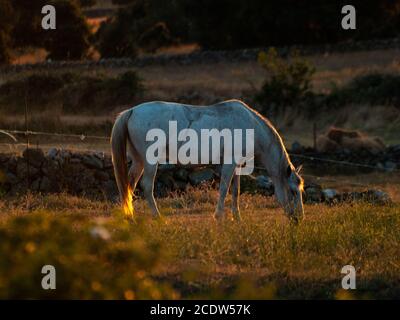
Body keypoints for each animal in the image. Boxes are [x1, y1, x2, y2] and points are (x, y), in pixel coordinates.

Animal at [111, 100, 304, 222]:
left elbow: (235, 191)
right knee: (146, 186)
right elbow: (224, 189)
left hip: (138, 161)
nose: (299, 219)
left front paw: (237, 217)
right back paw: (157, 216)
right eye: (293, 192)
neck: (251, 127)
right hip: (150, 163)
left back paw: (130, 217)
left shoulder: (236, 166)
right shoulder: (229, 164)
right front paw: (219, 216)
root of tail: (132, 111)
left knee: (129, 185)